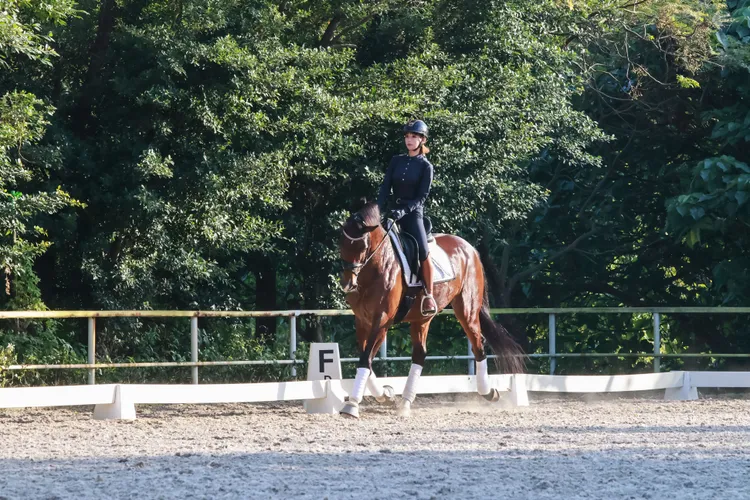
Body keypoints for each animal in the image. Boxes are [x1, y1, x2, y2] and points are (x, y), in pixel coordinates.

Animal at [338, 202, 524, 418]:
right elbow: (364, 357)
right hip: (421, 317)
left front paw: (352, 405)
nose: (348, 284)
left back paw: (488, 393)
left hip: (467, 310)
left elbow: (365, 358)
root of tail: (471, 249)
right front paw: (385, 395)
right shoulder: (362, 320)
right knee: (420, 353)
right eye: (341, 243)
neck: (376, 268)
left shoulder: (382, 321)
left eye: (363, 245)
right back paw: (405, 403)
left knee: (478, 345)